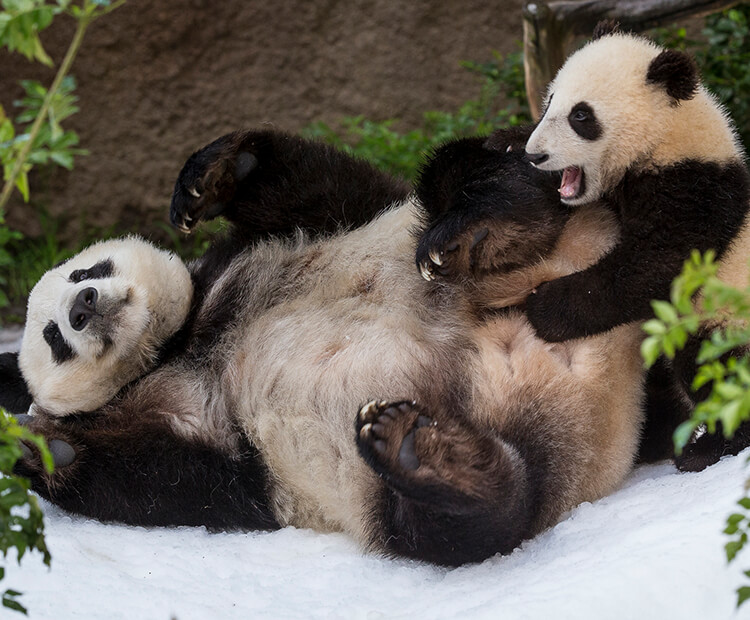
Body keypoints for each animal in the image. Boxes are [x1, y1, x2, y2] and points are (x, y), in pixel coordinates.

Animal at [0, 127, 648, 568]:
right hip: (454, 470)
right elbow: (176, 482)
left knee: (472, 170)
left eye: (88, 269)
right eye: (53, 337)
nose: (83, 307)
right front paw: (41, 447)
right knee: (466, 523)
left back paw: (484, 226)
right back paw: (428, 454)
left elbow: (314, 181)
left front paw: (212, 175)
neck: (179, 343)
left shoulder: (288, 237)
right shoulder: (222, 448)